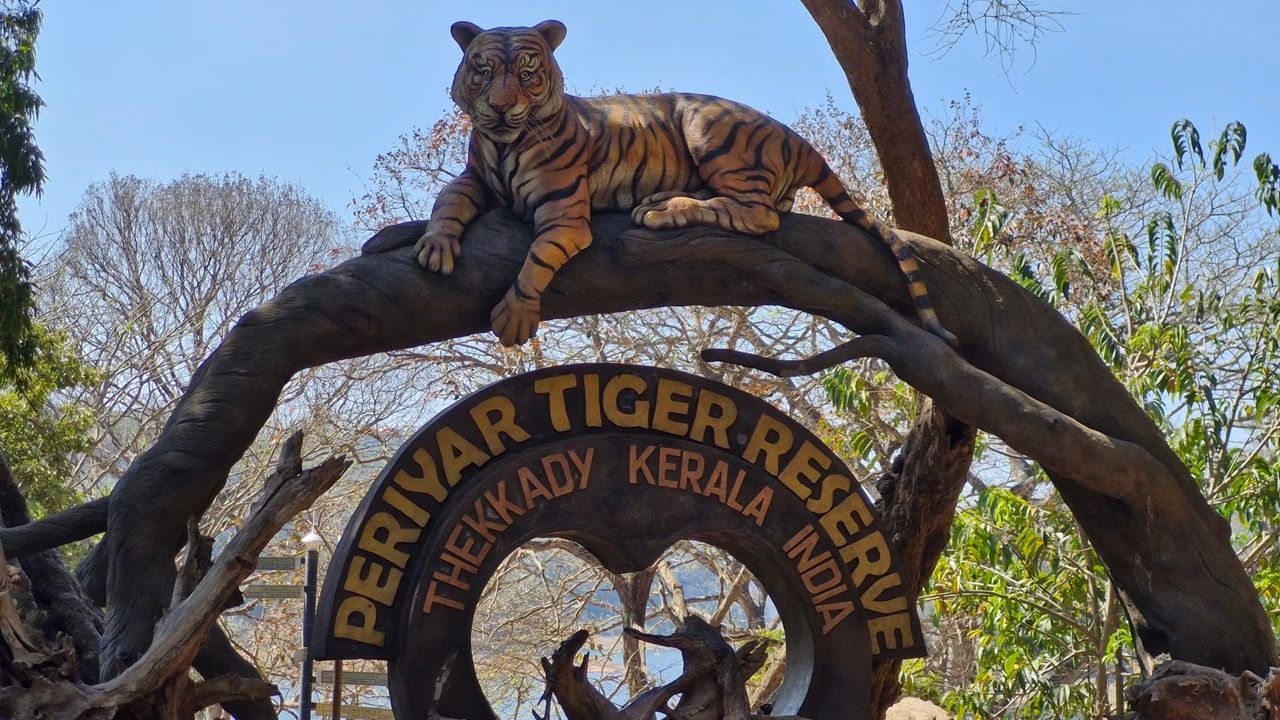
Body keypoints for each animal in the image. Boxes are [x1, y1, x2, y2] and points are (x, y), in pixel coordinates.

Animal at [383, 19, 956, 348]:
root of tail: (796, 138)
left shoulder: (564, 214)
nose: (501, 108)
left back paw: (662, 211)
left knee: (757, 214)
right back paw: (665, 199)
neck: (502, 144)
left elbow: (536, 259)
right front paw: (435, 246)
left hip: (710, 129)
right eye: (481, 72)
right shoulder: (473, 178)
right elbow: (448, 199)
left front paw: (515, 316)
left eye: (526, 75)